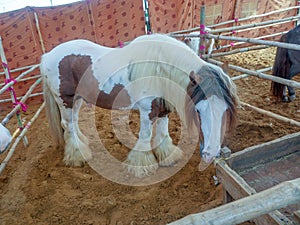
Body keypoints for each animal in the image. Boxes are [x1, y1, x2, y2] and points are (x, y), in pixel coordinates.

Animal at [40, 33, 239, 178]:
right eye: (198, 110)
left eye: (225, 110)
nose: (211, 153)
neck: (160, 70)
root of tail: (47, 56)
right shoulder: (147, 111)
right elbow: (145, 136)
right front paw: (141, 166)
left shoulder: (163, 110)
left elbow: (162, 133)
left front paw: (168, 156)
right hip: (65, 100)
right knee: (67, 124)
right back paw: (78, 155)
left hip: (77, 99)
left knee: (73, 122)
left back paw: (82, 143)